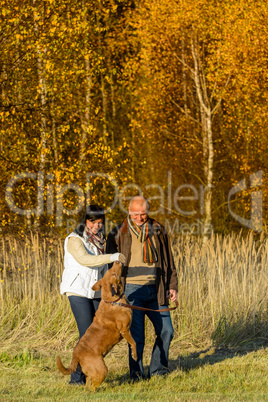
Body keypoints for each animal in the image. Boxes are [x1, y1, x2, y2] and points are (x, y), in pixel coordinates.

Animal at [55, 262, 137, 392]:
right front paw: (135, 355)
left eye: (109, 271)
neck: (112, 300)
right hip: (102, 369)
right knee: (94, 386)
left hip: (92, 371)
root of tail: (76, 355)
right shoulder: (124, 330)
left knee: (89, 382)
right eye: (114, 274)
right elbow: (134, 343)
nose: (117, 262)